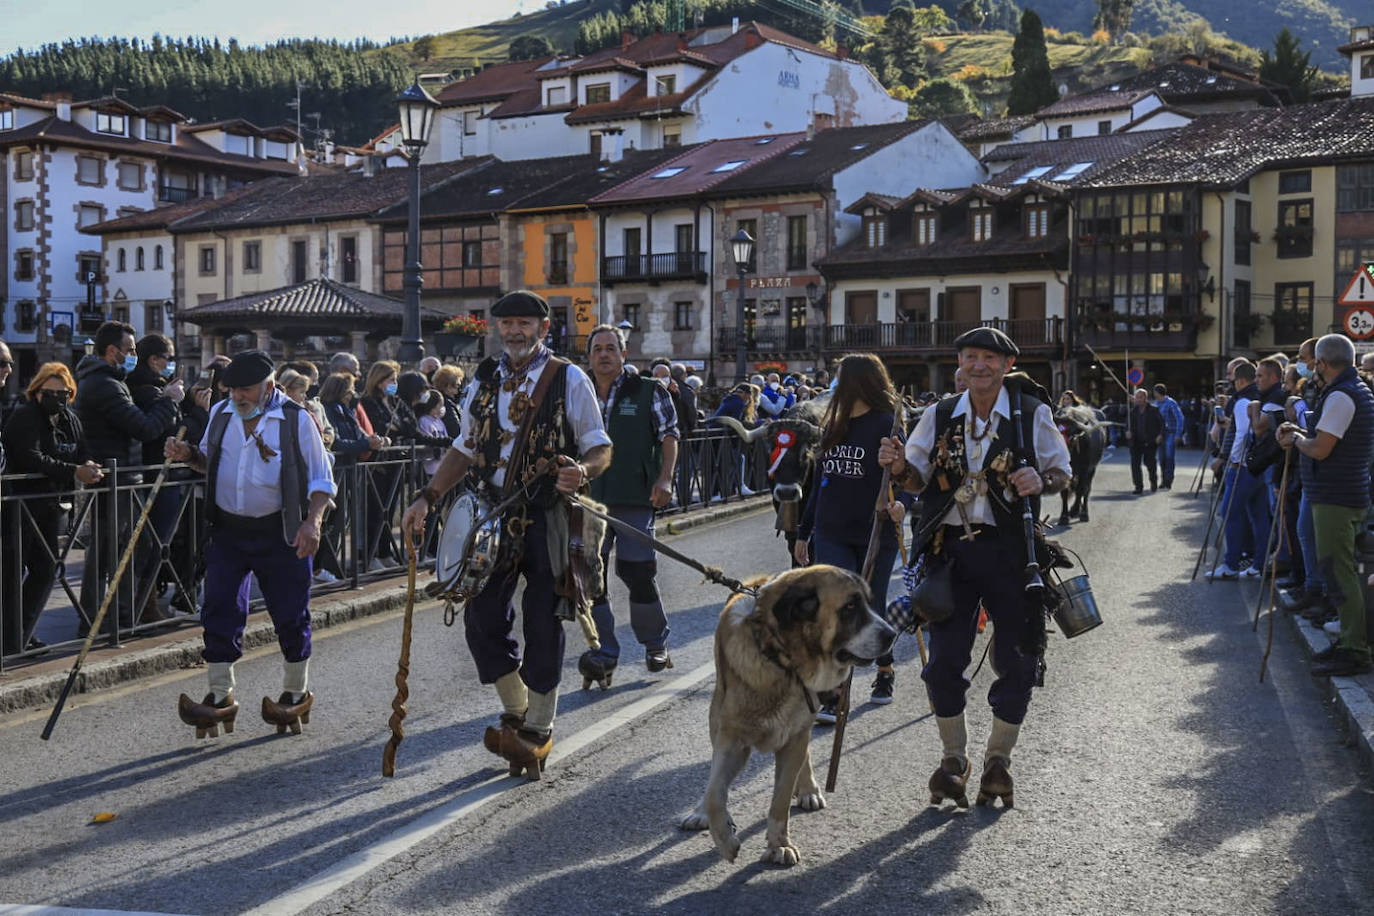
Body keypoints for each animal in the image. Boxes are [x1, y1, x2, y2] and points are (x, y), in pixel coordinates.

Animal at [678, 565, 895, 867]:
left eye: (868, 602)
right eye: (850, 607)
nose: (892, 634)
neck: (781, 660)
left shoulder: (794, 737)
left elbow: (780, 800)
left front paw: (779, 844)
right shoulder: (731, 741)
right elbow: (714, 792)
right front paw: (724, 838)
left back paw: (809, 789)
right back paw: (701, 813)